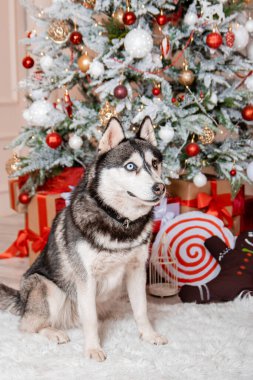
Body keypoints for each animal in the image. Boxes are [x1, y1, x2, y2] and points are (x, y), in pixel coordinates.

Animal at [0, 117, 168, 360]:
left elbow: (141, 309)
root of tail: (22, 300)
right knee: (29, 325)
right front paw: (93, 348)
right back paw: (54, 332)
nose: (160, 187)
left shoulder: (136, 271)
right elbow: (90, 319)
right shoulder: (86, 278)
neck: (119, 221)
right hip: (49, 288)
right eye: (130, 166)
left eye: (154, 164)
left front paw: (148, 335)